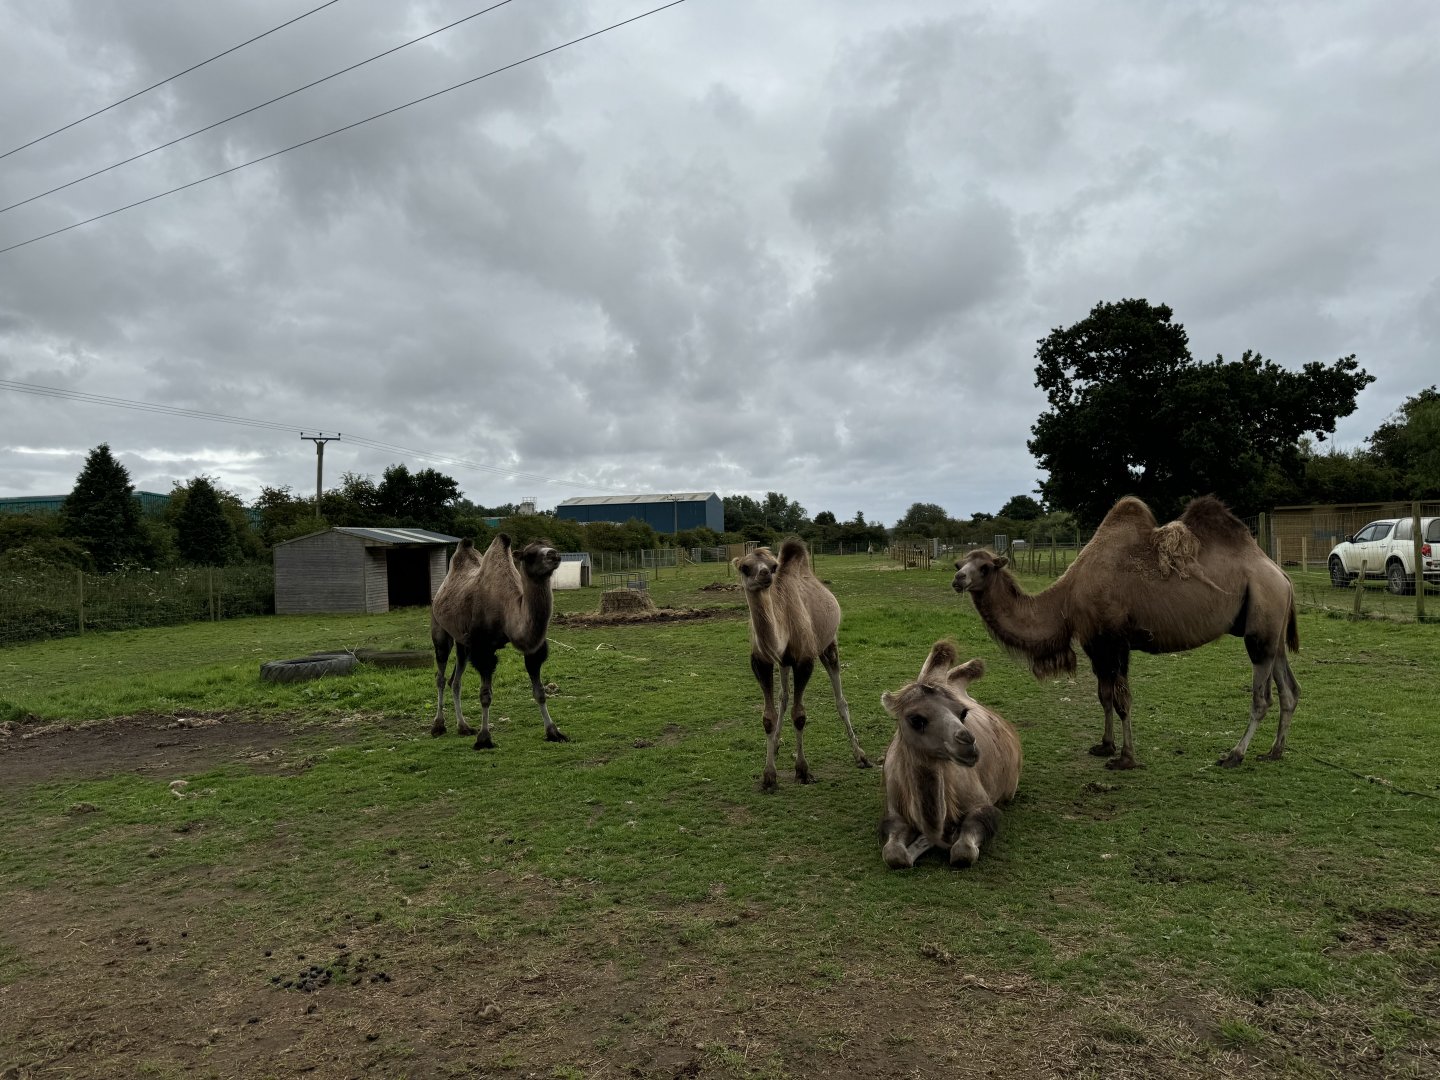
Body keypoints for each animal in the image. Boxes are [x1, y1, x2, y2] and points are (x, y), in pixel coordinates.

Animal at [429, 533, 566, 748]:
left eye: (549, 545)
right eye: (529, 555)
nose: (554, 554)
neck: (507, 611)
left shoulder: (532, 649)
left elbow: (540, 692)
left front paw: (553, 732)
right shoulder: (483, 649)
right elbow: (485, 695)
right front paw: (484, 738)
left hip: (463, 643)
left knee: (455, 681)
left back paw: (464, 727)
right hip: (440, 630)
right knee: (441, 677)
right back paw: (438, 726)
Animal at [733, 538, 872, 790]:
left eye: (773, 566)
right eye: (745, 567)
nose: (764, 574)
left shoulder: (804, 660)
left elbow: (799, 716)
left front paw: (803, 770)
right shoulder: (762, 662)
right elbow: (768, 717)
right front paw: (768, 775)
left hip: (828, 644)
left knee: (840, 700)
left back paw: (861, 756)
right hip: (784, 663)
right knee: (784, 697)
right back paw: (777, 744)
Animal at [879, 641, 1022, 869]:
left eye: (962, 713)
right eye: (915, 719)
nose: (968, 745)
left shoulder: (982, 806)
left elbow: (963, 852)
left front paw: (946, 837)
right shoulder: (894, 812)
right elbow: (894, 855)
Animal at [952, 495, 1298, 770]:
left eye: (984, 567)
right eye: (959, 563)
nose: (957, 579)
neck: (1066, 599)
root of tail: (1282, 575)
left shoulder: (1113, 640)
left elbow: (1122, 700)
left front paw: (1125, 758)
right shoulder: (1094, 643)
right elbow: (1104, 696)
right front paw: (1105, 746)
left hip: (1261, 621)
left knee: (1262, 697)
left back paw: (1234, 755)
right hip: (1272, 628)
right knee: (1289, 690)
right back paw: (1274, 752)